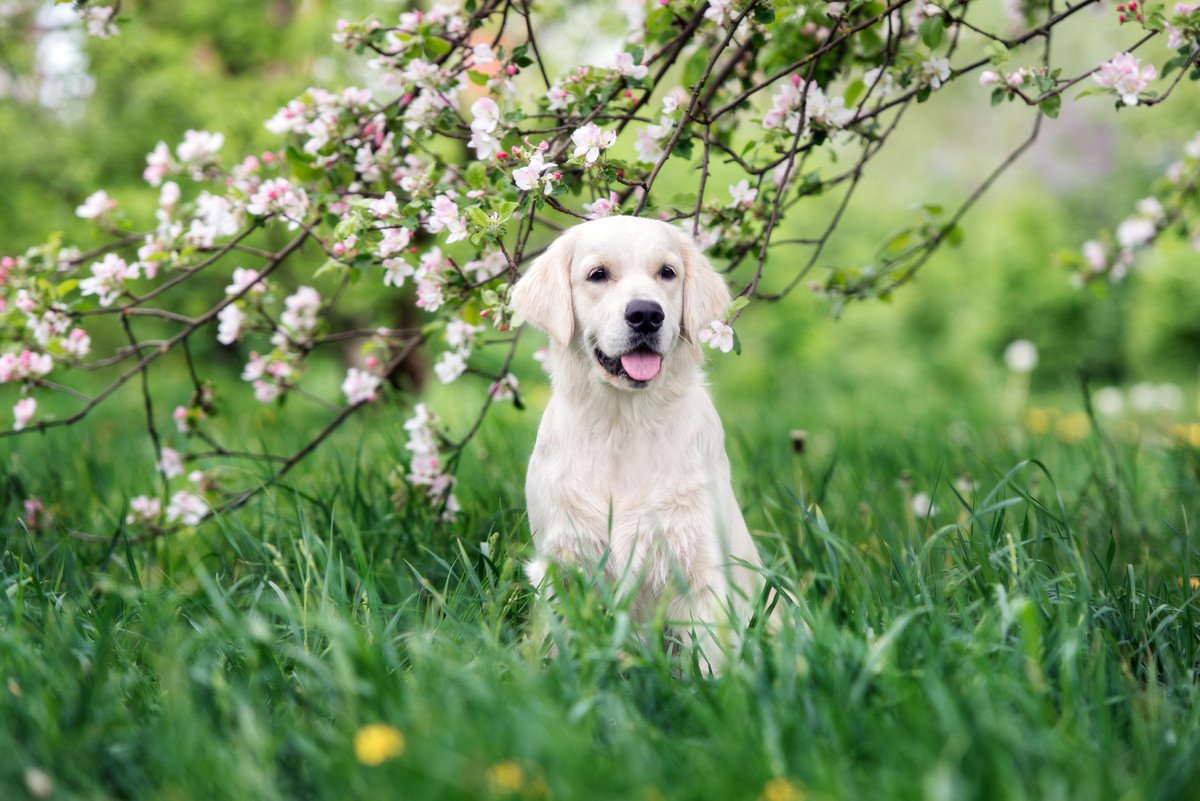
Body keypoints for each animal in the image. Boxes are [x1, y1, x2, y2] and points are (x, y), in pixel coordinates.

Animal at [511, 215, 772, 666]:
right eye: (598, 274)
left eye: (667, 272)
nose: (647, 314)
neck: (624, 423)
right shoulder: (562, 560)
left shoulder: (699, 568)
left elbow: (709, 659)